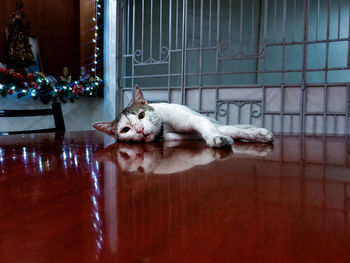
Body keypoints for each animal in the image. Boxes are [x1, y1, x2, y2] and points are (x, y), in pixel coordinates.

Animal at [92, 85, 274, 147]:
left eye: (141, 115)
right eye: (125, 130)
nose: (139, 130)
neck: (164, 129)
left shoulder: (195, 120)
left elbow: (214, 130)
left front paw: (217, 139)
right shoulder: (184, 135)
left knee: (226, 125)